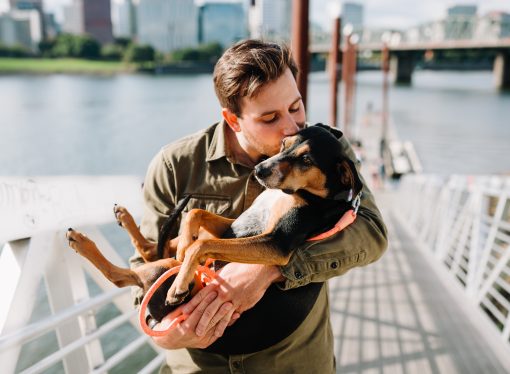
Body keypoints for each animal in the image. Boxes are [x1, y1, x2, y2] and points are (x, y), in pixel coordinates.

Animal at [66, 124, 362, 322]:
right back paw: (109, 226)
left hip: (164, 269)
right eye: (283, 143)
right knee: (146, 254)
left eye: (306, 160)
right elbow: (195, 214)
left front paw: (180, 284)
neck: (300, 194)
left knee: (121, 274)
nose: (259, 170)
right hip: (169, 258)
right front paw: (185, 244)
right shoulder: (237, 225)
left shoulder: (275, 243)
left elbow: (201, 246)